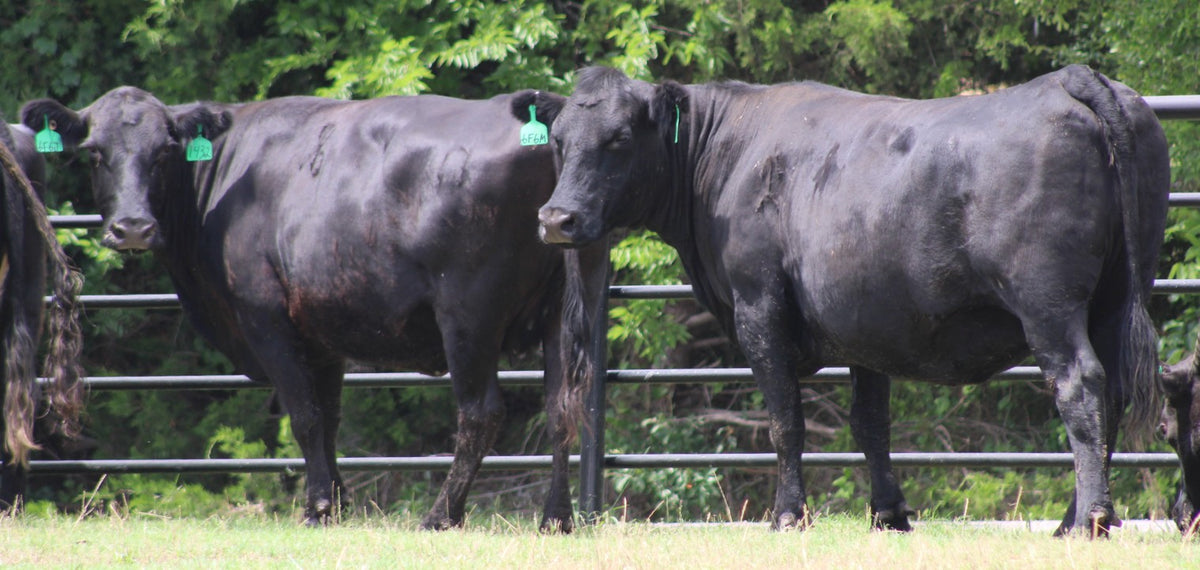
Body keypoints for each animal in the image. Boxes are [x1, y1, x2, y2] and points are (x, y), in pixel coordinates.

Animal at [20, 87, 608, 531]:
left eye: (164, 152)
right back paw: (557, 518)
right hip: (561, 315)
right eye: (95, 152)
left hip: (467, 317)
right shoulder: (322, 333)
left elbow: (303, 415)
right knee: (562, 407)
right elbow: (328, 418)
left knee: (481, 413)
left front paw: (319, 506)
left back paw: (441, 515)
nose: (134, 228)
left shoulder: (265, 319)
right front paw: (338, 504)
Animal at [526, 65, 1170, 536]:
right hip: (1119, 294)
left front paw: (788, 515)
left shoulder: (759, 306)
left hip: (1048, 303)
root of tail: (1069, 78)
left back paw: (1088, 520)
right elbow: (870, 423)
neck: (727, 153)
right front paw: (889, 515)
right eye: (558, 141)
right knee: (1114, 388)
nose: (557, 219)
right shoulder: (868, 321)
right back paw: (1073, 519)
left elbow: (785, 420)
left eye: (618, 138)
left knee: (1080, 385)